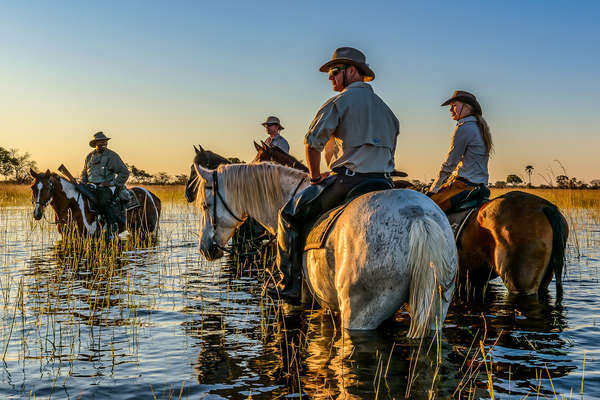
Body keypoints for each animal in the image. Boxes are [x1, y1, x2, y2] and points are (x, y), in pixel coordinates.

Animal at [29, 168, 162, 236]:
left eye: (47, 188)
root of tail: (152, 196)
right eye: (32, 187)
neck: (72, 205)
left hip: (147, 230)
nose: (37, 214)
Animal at [195, 162, 458, 338]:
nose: (205, 248)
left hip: (360, 314)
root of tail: (418, 216)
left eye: (205, 205)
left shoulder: (302, 300)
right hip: (435, 309)